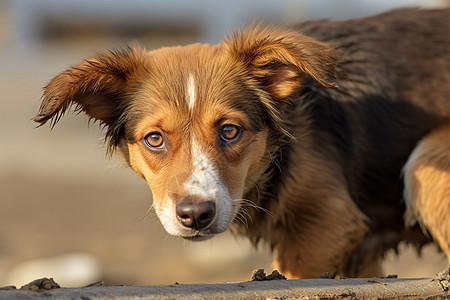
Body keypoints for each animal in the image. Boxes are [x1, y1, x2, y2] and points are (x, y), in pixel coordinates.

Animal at [35, 7, 450, 278]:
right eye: (154, 139)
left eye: (230, 131)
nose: (195, 215)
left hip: (426, 160)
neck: (274, 157)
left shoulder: (327, 225)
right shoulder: (355, 248)